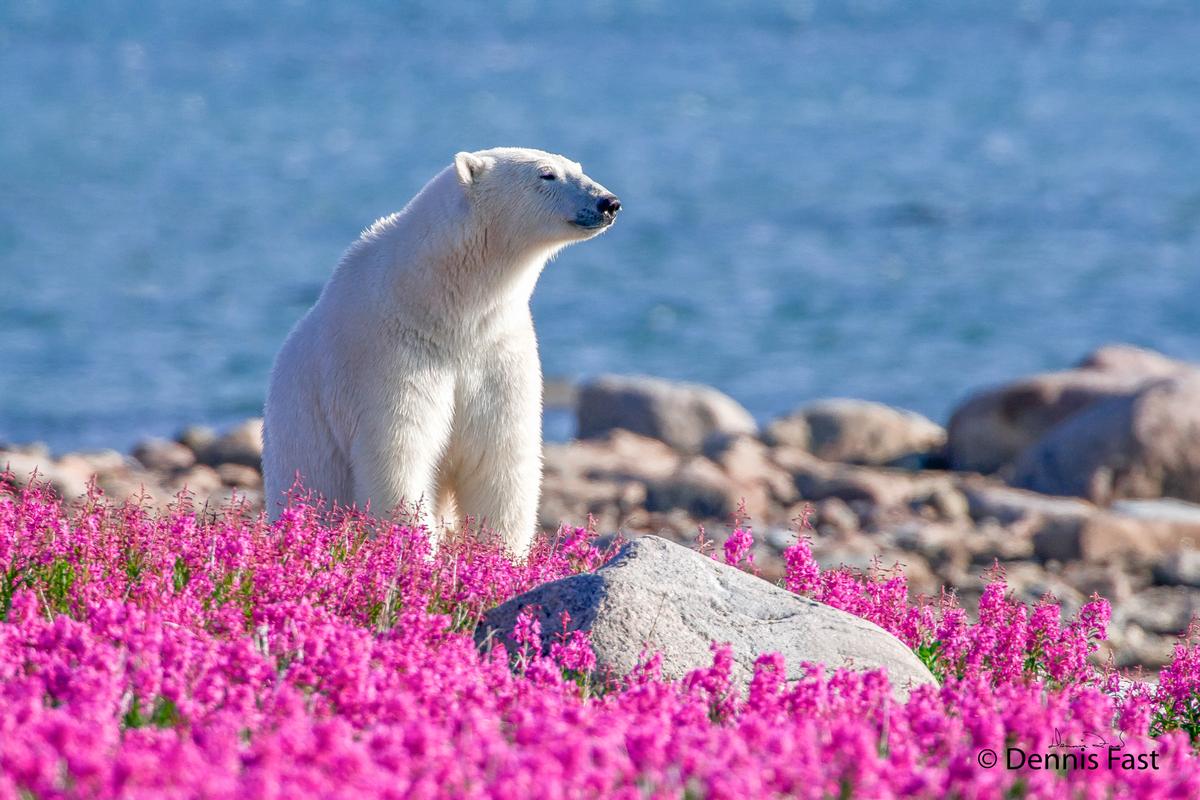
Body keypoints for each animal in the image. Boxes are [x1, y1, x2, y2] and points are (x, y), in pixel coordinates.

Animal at [260, 146, 619, 554]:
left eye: (577, 167)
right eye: (546, 174)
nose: (608, 202)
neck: (441, 306)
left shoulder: (497, 351)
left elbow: (500, 459)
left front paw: (500, 556)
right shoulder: (388, 353)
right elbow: (399, 457)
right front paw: (418, 553)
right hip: (300, 444)